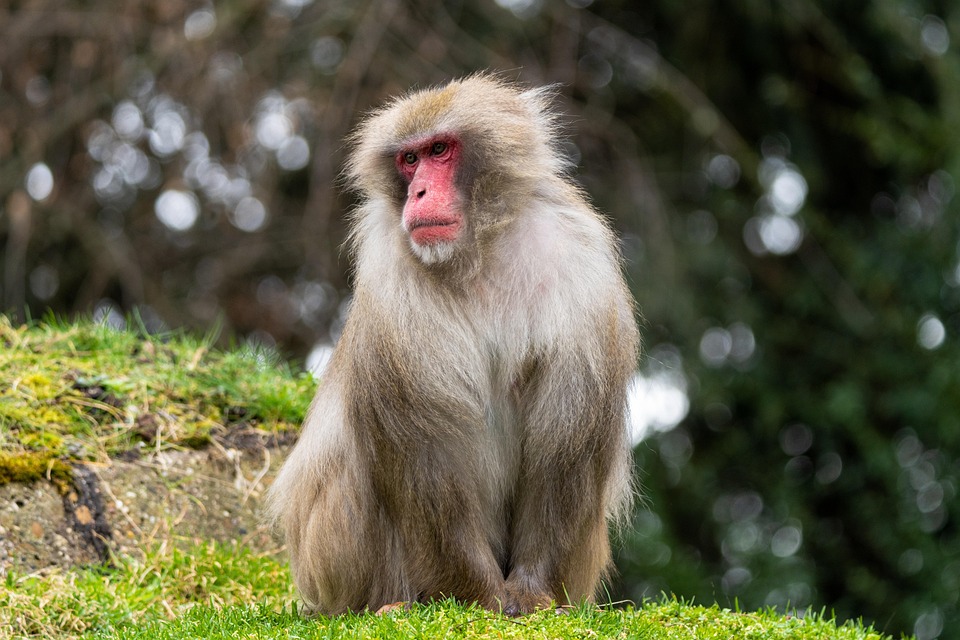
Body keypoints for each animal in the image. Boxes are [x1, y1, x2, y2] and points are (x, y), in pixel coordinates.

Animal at [266, 74, 639, 617]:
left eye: (439, 150)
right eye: (409, 159)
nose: (418, 191)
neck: (479, 252)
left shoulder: (580, 262)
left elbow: (564, 449)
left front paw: (532, 592)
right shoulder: (394, 284)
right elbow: (428, 459)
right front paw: (480, 598)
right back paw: (395, 604)